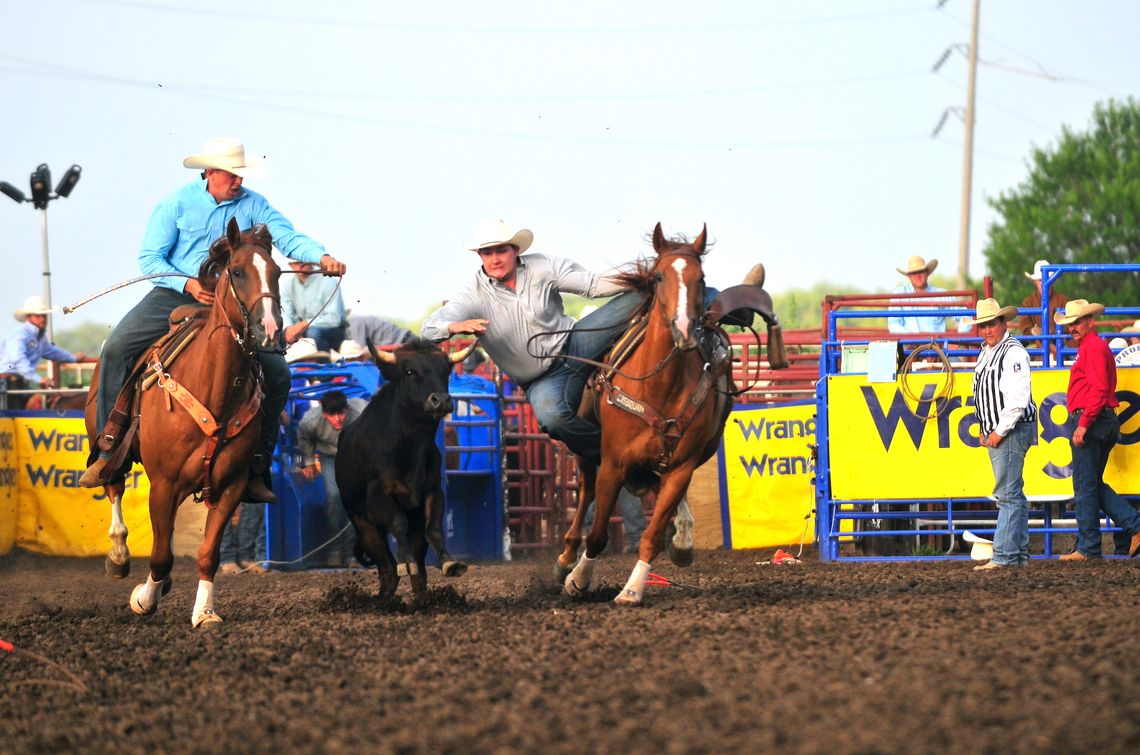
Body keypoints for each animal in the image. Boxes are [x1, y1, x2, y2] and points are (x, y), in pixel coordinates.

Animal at [83, 220, 280, 634]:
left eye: (277, 272)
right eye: (237, 271)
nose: (269, 328)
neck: (216, 388)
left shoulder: (231, 487)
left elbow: (207, 554)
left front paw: (204, 612)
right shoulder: (164, 485)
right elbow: (160, 555)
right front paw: (144, 598)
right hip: (107, 443)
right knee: (113, 486)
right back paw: (119, 555)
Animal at [556, 225, 734, 611]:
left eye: (701, 278)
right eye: (658, 276)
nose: (684, 329)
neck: (660, 386)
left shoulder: (682, 465)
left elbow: (652, 536)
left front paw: (633, 589)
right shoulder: (613, 463)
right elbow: (597, 534)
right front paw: (579, 579)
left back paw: (682, 538)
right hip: (585, 452)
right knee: (586, 492)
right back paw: (566, 559)